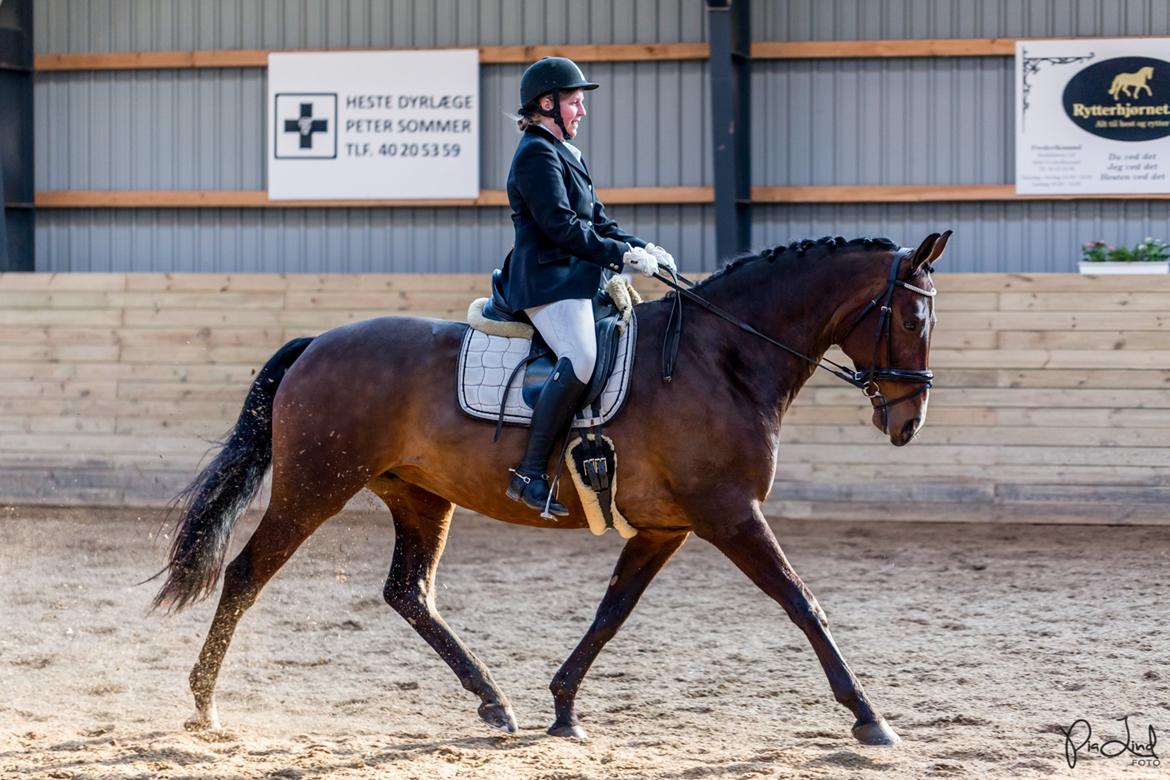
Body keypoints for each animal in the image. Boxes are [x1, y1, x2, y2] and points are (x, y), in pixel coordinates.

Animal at [153, 230, 950, 743]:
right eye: (913, 315)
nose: (908, 421)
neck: (723, 357)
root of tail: (316, 342)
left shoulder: (666, 527)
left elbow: (611, 613)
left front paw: (564, 709)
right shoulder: (729, 513)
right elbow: (802, 601)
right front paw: (869, 716)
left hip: (418, 495)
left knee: (410, 593)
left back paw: (494, 704)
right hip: (315, 486)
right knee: (247, 574)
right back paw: (204, 708)